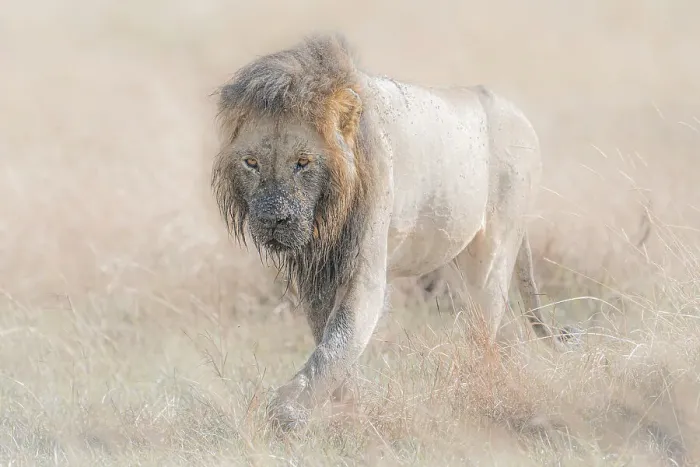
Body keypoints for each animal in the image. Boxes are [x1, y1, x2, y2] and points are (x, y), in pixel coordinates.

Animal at [211, 33, 576, 431]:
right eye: (252, 163)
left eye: (302, 163)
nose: (273, 219)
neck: (325, 218)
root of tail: (520, 116)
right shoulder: (317, 274)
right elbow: (330, 341)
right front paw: (345, 406)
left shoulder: (364, 269)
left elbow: (338, 342)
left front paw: (287, 412)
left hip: (492, 254)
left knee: (485, 331)